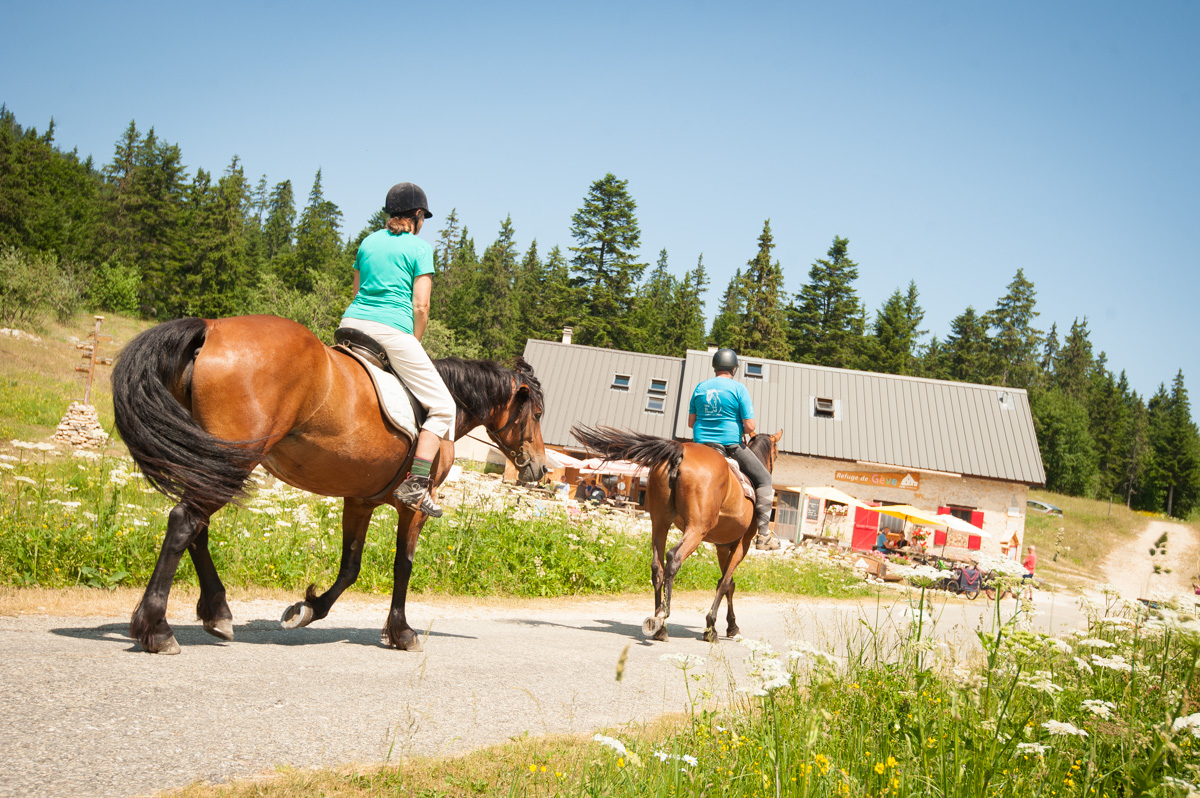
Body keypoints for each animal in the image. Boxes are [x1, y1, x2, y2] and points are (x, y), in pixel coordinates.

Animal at [111, 312, 544, 652]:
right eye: (537, 413)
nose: (539, 468)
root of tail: (213, 327)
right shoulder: (414, 508)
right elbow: (402, 565)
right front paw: (402, 632)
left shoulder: (360, 502)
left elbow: (350, 566)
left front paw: (307, 609)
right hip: (232, 461)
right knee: (184, 522)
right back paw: (156, 629)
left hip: (212, 462)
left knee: (195, 526)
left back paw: (216, 613)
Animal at [571, 422, 787, 643]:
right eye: (777, 453)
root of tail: (681, 451)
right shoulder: (741, 544)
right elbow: (725, 583)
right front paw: (713, 627)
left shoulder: (722, 547)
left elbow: (730, 584)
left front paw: (731, 626)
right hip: (697, 529)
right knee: (674, 558)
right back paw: (663, 614)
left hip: (660, 523)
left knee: (657, 566)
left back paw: (659, 623)